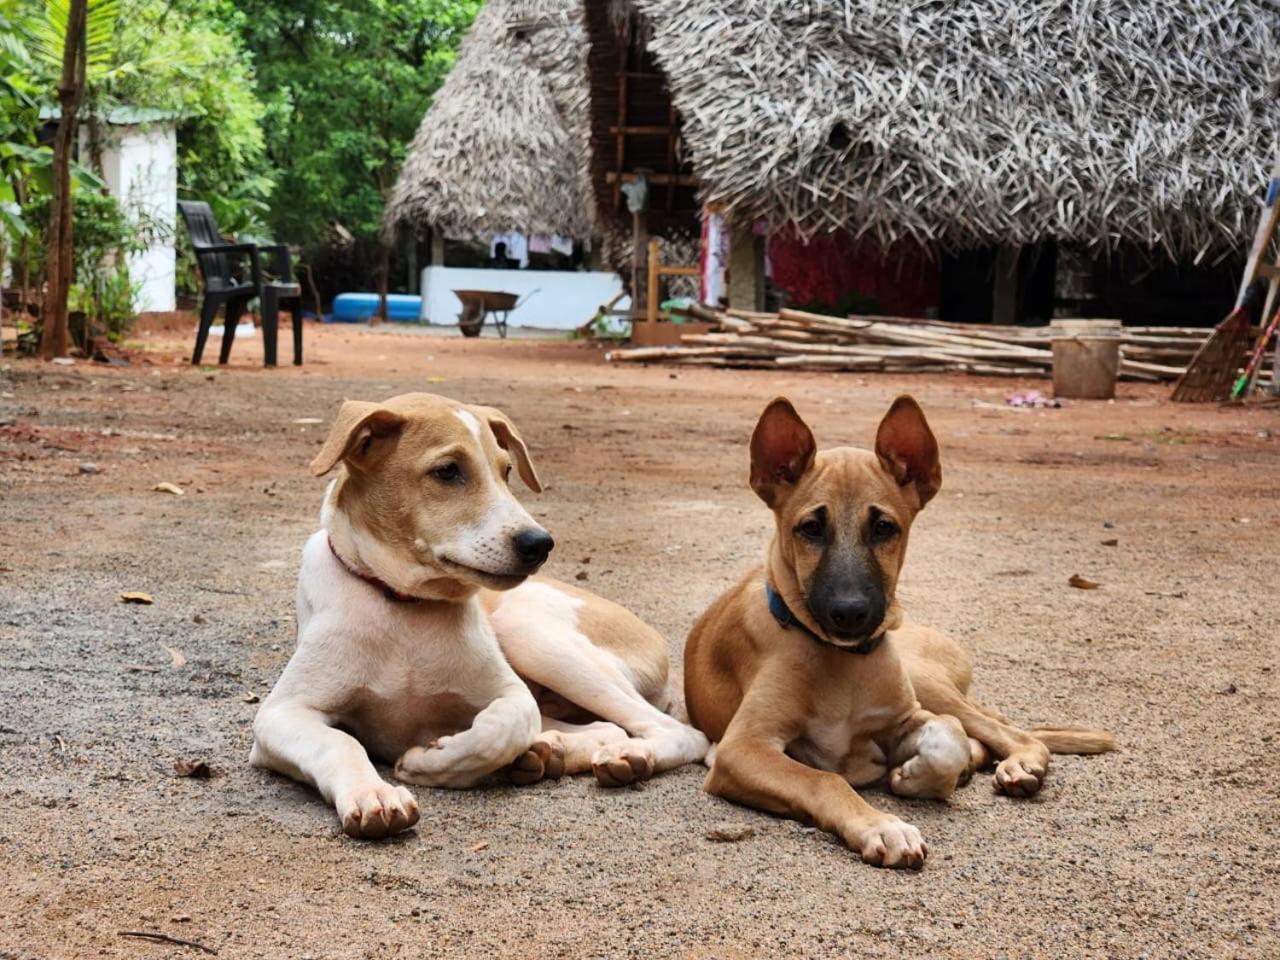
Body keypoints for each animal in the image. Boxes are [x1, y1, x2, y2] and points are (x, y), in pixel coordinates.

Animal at [249, 394, 711, 839]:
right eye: (448, 471)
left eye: (507, 472)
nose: (539, 544)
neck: (405, 608)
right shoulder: (280, 715)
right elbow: (339, 743)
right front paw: (372, 795)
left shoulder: (512, 694)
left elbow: (499, 727)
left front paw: (430, 759)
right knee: (609, 727)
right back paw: (552, 752)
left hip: (533, 636)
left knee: (679, 733)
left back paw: (623, 755)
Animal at [686, 399, 1116, 870]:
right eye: (811, 528)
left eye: (883, 528)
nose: (850, 613)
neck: (842, 661)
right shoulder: (741, 748)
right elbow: (823, 779)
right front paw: (881, 825)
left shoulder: (905, 716)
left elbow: (947, 737)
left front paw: (915, 776)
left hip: (925, 680)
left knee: (1007, 732)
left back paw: (1016, 763)